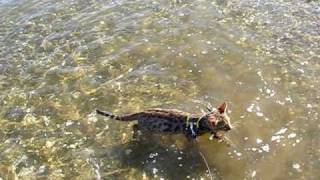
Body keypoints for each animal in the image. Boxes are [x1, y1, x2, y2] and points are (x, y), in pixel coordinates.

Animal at [95, 102, 232, 140]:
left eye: (229, 121)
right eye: (224, 126)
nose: (231, 128)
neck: (199, 121)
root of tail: (143, 111)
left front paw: (219, 136)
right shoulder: (190, 135)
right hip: (147, 127)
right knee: (134, 126)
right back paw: (135, 135)